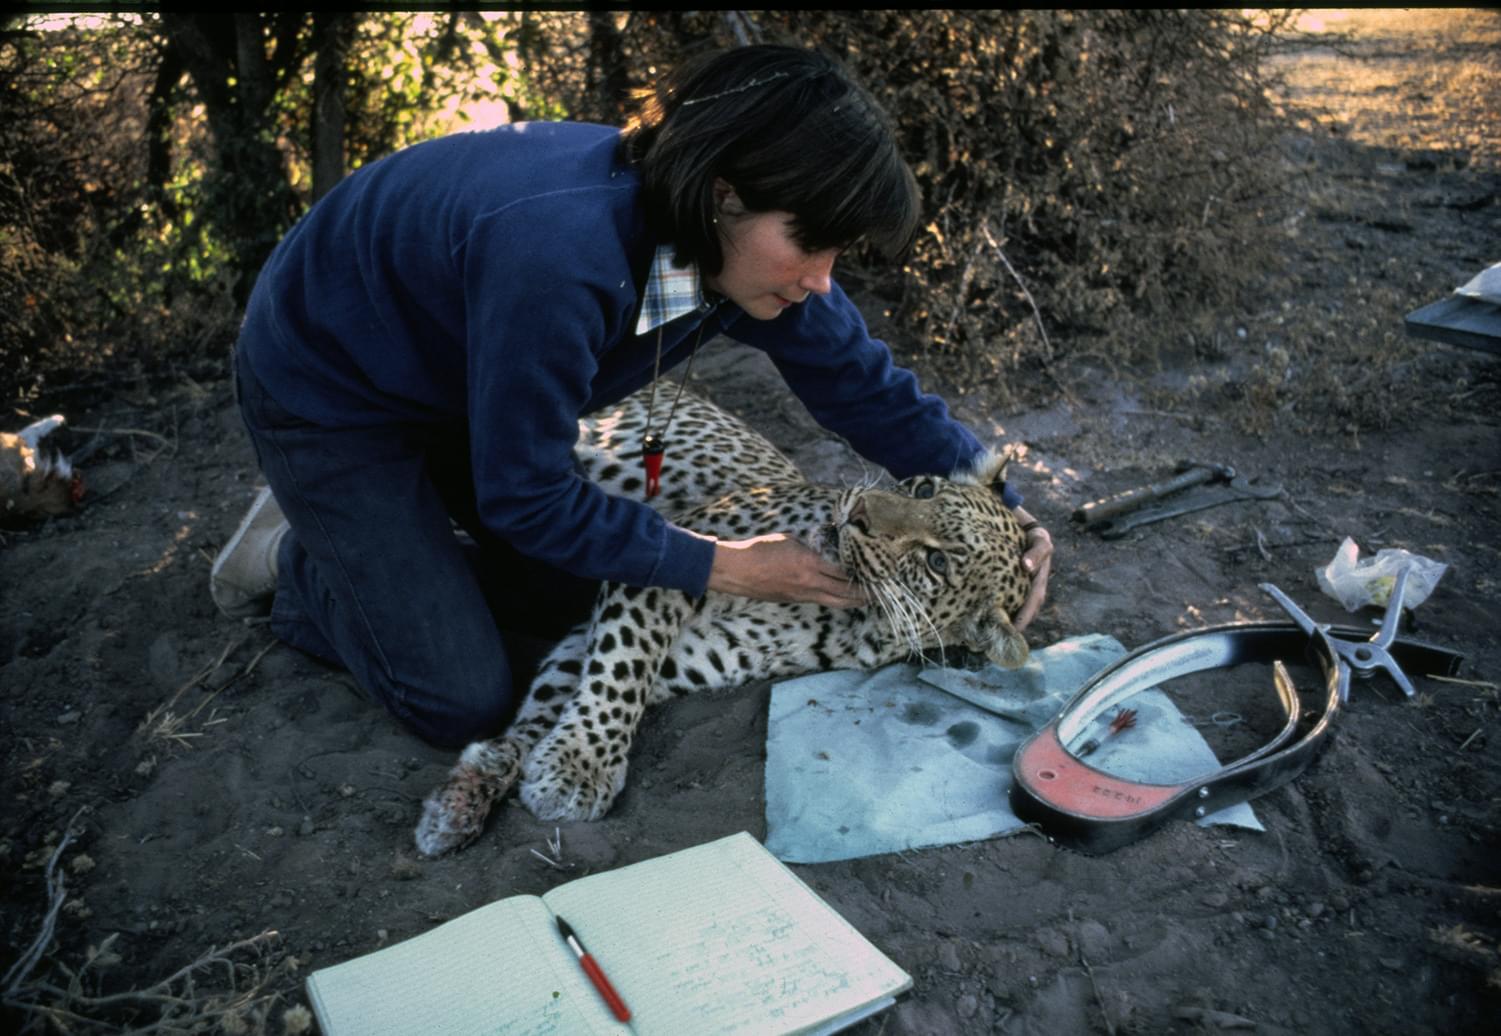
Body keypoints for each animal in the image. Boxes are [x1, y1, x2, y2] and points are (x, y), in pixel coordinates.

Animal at [417, 382, 1038, 852]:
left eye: (937, 561)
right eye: (924, 487)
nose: (857, 510)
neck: (852, 614)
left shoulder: (682, 657)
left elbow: (570, 694)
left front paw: (482, 785)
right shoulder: (663, 561)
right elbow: (616, 677)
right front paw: (574, 768)